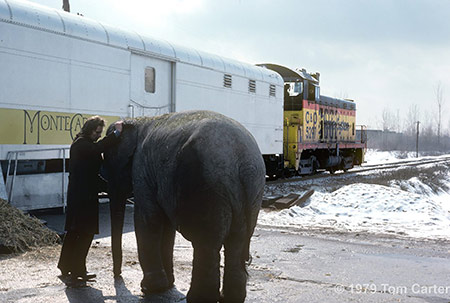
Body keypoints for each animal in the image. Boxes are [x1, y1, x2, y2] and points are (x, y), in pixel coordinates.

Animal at [103, 110, 266, 302]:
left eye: (108, 163)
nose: (117, 275)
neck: (137, 121)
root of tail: (242, 160)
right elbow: (166, 226)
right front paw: (166, 284)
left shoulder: (141, 168)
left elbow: (148, 218)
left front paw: (150, 288)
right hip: (252, 194)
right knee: (236, 242)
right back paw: (230, 297)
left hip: (206, 188)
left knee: (206, 243)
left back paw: (198, 298)